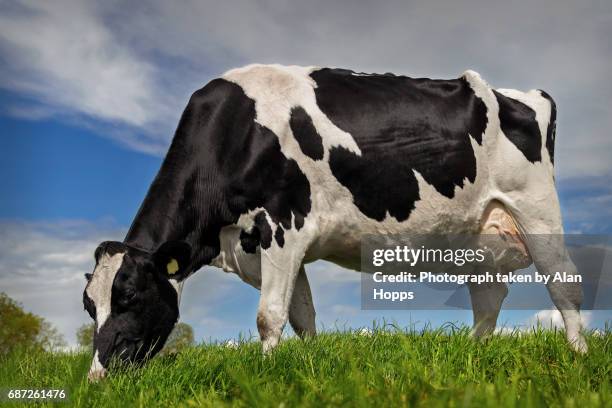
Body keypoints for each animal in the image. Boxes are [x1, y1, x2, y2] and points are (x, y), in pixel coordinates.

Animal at [83, 63, 584, 380]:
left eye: (129, 296)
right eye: (90, 306)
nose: (97, 376)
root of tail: (525, 94)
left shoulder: (281, 224)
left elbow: (269, 316)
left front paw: (266, 375)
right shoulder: (272, 245)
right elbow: (301, 316)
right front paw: (304, 370)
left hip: (535, 206)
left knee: (563, 282)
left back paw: (578, 356)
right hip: (477, 238)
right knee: (489, 297)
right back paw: (472, 358)